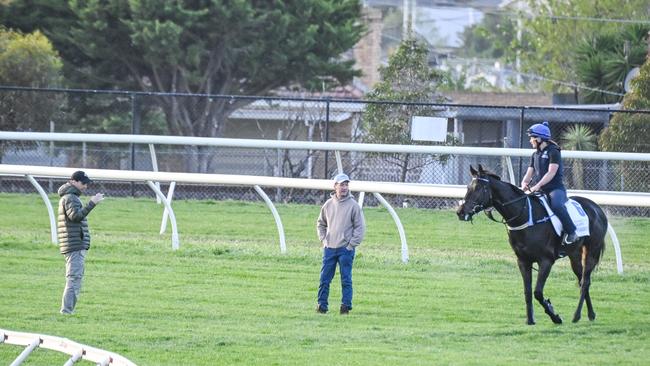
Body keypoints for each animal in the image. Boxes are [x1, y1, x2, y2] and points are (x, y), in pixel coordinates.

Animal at [454, 164, 604, 324]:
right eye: (468, 187)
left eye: (479, 188)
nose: (460, 212)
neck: (524, 216)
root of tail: (597, 209)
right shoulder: (523, 261)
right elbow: (527, 291)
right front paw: (530, 320)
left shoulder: (546, 261)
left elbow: (537, 292)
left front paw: (554, 315)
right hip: (574, 255)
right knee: (582, 281)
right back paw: (591, 314)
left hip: (591, 252)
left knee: (585, 282)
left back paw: (577, 315)